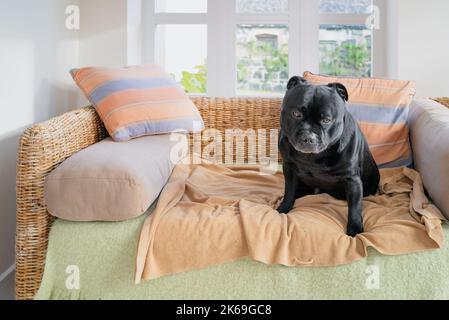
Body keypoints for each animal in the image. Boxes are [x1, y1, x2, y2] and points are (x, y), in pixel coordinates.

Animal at [276, 76, 378, 236]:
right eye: (296, 114)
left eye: (326, 120)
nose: (308, 137)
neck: (313, 157)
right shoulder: (289, 169)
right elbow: (289, 191)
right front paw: (284, 208)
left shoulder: (352, 180)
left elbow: (355, 207)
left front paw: (355, 229)